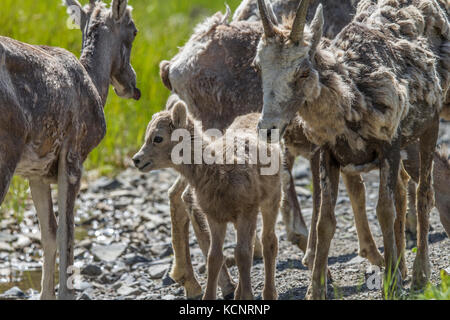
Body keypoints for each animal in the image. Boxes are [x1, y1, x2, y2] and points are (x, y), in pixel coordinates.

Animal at [0, 0, 140, 300]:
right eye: (134, 30)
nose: (133, 87)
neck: (95, 85)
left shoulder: (36, 173)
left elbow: (49, 233)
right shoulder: (73, 157)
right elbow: (67, 231)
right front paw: (67, 293)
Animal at [133, 103, 282, 300]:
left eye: (158, 138)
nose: (136, 160)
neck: (218, 170)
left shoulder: (246, 212)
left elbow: (243, 255)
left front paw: (247, 296)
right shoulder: (215, 217)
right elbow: (215, 257)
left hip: (271, 200)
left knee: (269, 242)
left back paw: (269, 293)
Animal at [255, 0, 448, 300]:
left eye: (303, 71)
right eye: (258, 67)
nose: (268, 128)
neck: (353, 98)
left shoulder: (389, 148)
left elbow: (384, 211)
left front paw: (391, 286)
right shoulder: (328, 156)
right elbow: (324, 221)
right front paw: (315, 290)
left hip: (429, 127)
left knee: (423, 194)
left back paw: (418, 275)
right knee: (404, 192)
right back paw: (402, 268)